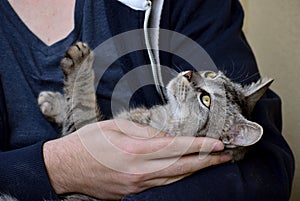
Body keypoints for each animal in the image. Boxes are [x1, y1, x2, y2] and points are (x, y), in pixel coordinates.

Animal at [38, 41, 274, 201]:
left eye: (206, 99)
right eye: (210, 75)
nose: (189, 74)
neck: (164, 115)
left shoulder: (87, 130)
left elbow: (81, 103)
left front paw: (80, 64)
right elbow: (71, 106)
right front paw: (53, 102)